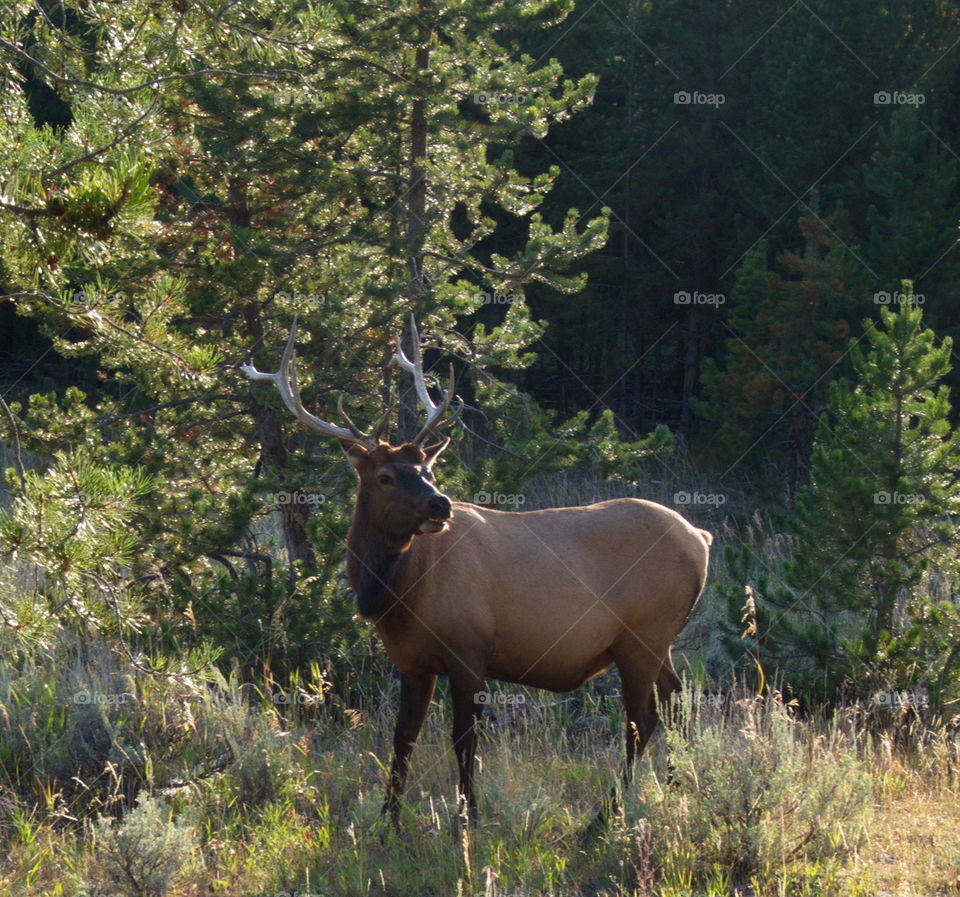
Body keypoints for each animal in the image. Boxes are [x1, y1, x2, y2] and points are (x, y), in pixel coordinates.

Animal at [246, 318, 712, 824]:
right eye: (385, 476)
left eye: (427, 469)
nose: (440, 503)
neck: (399, 594)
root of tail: (701, 538)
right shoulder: (412, 661)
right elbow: (403, 739)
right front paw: (389, 821)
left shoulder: (469, 649)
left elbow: (463, 740)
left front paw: (467, 818)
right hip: (658, 641)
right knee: (677, 704)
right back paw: (682, 791)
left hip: (643, 634)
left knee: (641, 720)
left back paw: (604, 816)